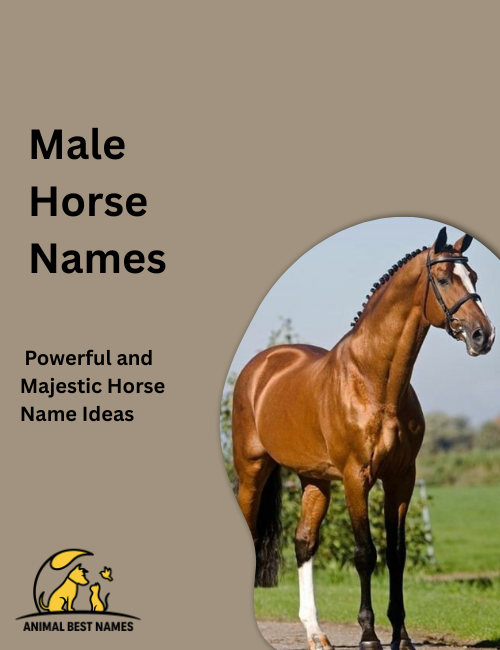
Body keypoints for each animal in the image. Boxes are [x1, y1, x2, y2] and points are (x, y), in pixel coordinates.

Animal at [232, 227, 495, 650]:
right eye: (442, 279)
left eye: (474, 278)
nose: (482, 335)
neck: (375, 383)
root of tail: (260, 367)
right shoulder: (357, 477)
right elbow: (365, 553)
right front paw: (369, 636)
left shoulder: (401, 478)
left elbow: (395, 553)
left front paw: (401, 635)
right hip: (252, 471)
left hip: (315, 480)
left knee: (304, 541)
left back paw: (316, 633)